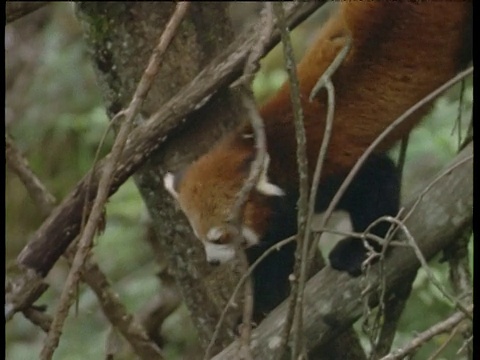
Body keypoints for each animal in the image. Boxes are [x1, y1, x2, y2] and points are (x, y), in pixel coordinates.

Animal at [163, 2, 470, 322]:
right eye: (200, 236)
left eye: (220, 237)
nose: (211, 261)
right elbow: (272, 254)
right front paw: (259, 308)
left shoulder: (322, 169)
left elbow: (378, 181)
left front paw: (361, 249)